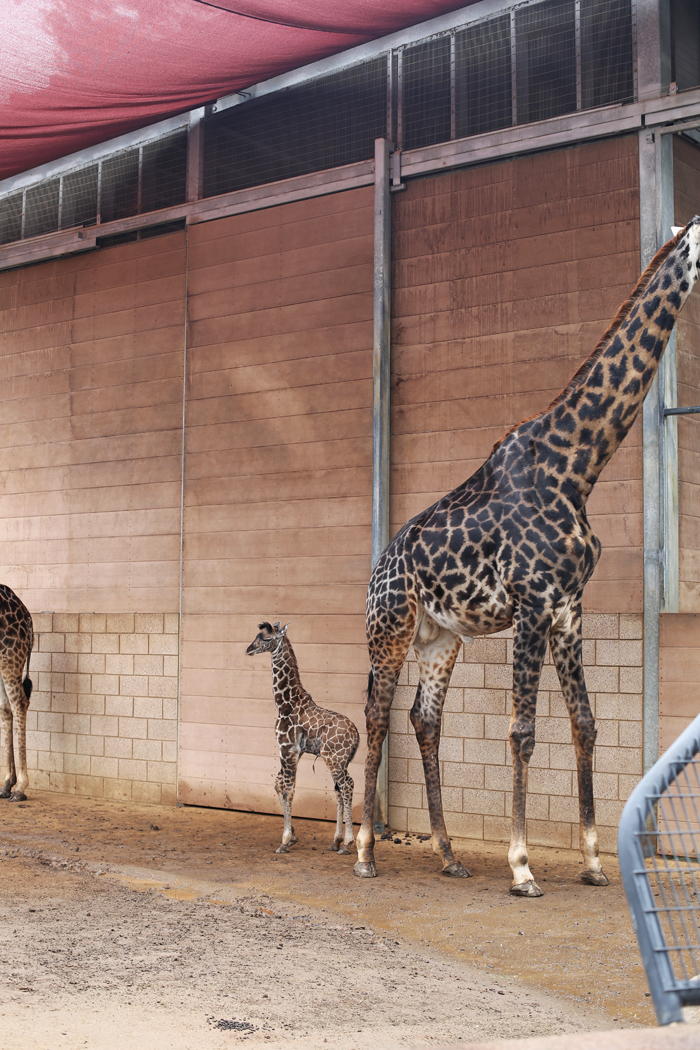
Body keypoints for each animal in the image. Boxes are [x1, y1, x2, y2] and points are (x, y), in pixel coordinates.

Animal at [247, 617, 361, 856]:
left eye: (267, 639)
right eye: (256, 636)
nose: (249, 649)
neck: (284, 704)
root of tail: (356, 735)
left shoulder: (287, 748)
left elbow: (289, 790)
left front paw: (284, 841)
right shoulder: (293, 751)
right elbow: (278, 784)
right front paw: (292, 836)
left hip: (333, 757)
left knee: (347, 785)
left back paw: (347, 843)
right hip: (340, 760)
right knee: (340, 789)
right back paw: (336, 841)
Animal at [356, 217, 700, 898]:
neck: (578, 468)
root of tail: (377, 568)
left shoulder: (569, 610)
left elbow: (585, 724)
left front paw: (593, 861)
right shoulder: (532, 605)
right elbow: (522, 730)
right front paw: (521, 867)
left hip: (440, 638)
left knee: (423, 718)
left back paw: (449, 855)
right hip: (390, 630)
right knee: (376, 716)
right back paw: (363, 854)